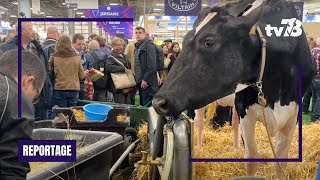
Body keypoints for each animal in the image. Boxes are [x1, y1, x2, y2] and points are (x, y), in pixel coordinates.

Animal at [154, 0, 316, 179]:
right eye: (185, 40)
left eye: (209, 41)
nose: (158, 102)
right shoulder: (245, 109)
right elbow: (252, 158)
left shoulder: (293, 113)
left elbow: (281, 162)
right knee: (200, 122)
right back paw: (200, 146)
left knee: (234, 123)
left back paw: (236, 148)